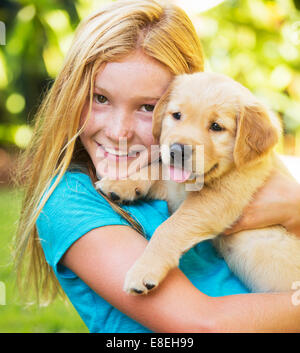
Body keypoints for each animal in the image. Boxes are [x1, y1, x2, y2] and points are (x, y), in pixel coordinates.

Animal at [96, 71, 300, 294]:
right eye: (177, 115)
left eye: (216, 127)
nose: (177, 151)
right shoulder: (176, 189)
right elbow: (158, 168)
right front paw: (119, 184)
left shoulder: (219, 197)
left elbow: (169, 228)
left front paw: (144, 270)